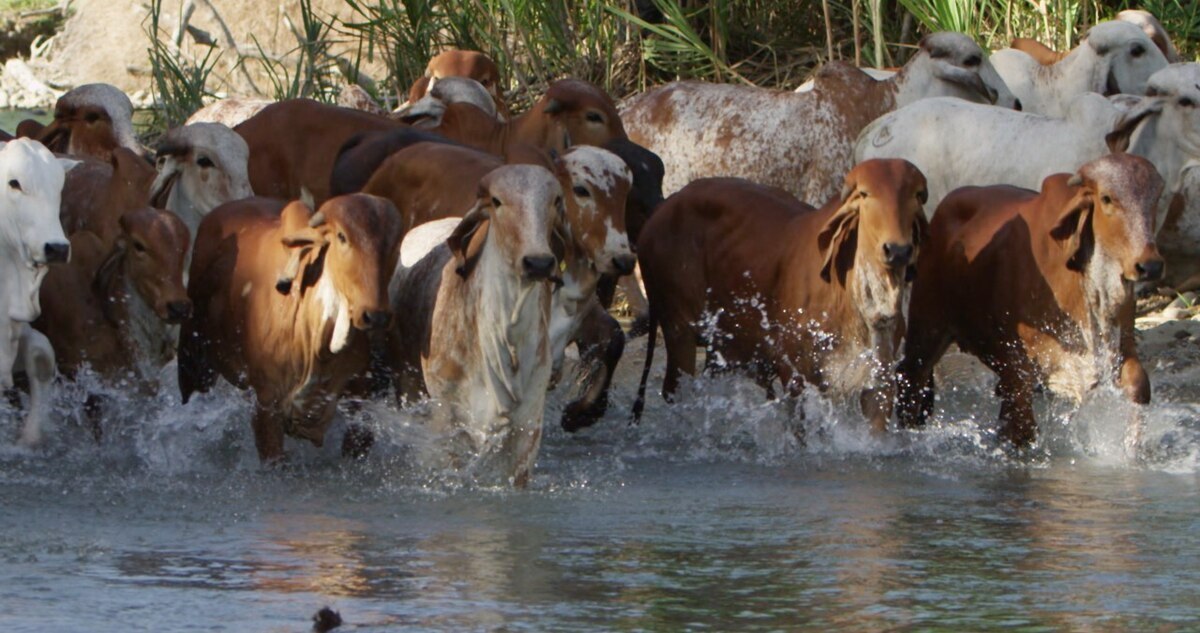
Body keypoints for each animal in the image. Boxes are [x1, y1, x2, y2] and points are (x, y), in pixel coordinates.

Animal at [178, 191, 403, 460]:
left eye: (394, 242)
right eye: (341, 236)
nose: (375, 316)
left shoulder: (361, 403)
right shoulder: (267, 405)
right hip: (193, 365)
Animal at [633, 160, 931, 431]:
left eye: (916, 195)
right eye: (865, 194)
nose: (898, 250)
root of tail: (661, 210)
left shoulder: (878, 379)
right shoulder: (795, 373)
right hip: (678, 329)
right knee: (674, 390)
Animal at [902, 153, 1161, 448]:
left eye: (1156, 197)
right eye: (1106, 198)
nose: (1150, 266)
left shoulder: (1123, 342)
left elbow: (1139, 385)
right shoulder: (1018, 369)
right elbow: (1023, 432)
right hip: (927, 329)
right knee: (910, 381)